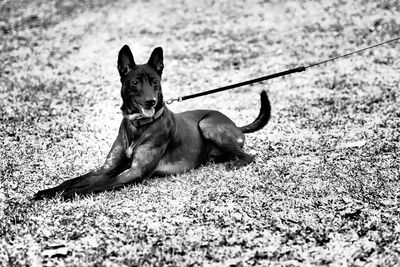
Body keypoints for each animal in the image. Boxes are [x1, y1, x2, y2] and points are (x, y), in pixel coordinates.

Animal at [33, 45, 272, 200]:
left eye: (155, 82)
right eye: (135, 82)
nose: (151, 101)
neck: (137, 125)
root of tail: (236, 125)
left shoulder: (135, 171)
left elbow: (96, 184)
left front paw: (68, 195)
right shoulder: (108, 166)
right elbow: (77, 179)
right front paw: (49, 191)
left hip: (207, 125)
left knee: (249, 156)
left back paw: (235, 162)